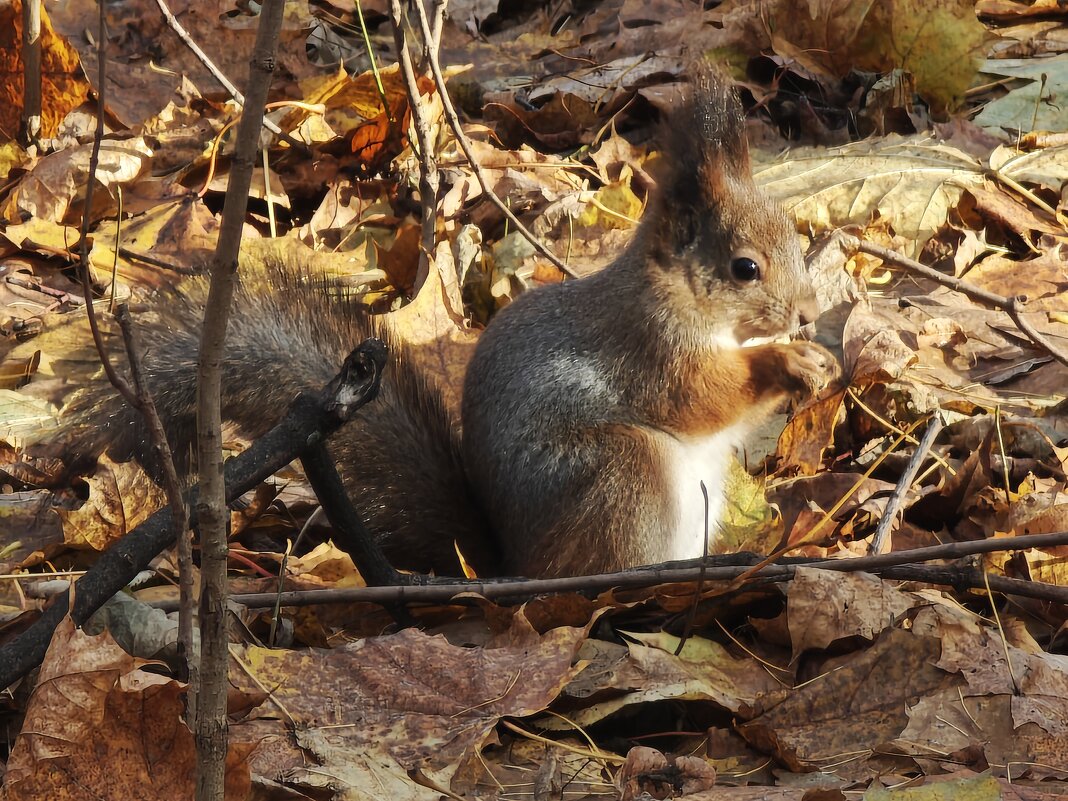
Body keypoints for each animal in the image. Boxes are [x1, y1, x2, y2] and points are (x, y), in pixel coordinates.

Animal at [56, 68, 841, 580]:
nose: (807, 313)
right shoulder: (651, 348)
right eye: (745, 268)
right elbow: (702, 396)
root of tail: (515, 566)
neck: (681, 296)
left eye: (793, 235)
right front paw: (787, 363)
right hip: (624, 473)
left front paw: (819, 358)